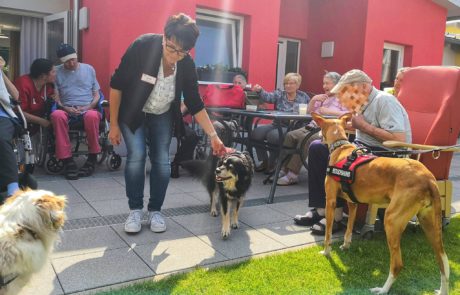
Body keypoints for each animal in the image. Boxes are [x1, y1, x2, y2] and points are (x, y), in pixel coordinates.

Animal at [312, 112, 450, 294]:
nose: (317, 136)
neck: (342, 148)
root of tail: (429, 179)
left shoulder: (331, 201)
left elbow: (328, 234)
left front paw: (326, 252)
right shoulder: (353, 204)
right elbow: (348, 228)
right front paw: (346, 245)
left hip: (392, 220)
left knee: (397, 264)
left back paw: (383, 289)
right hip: (430, 225)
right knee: (443, 261)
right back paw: (442, 290)